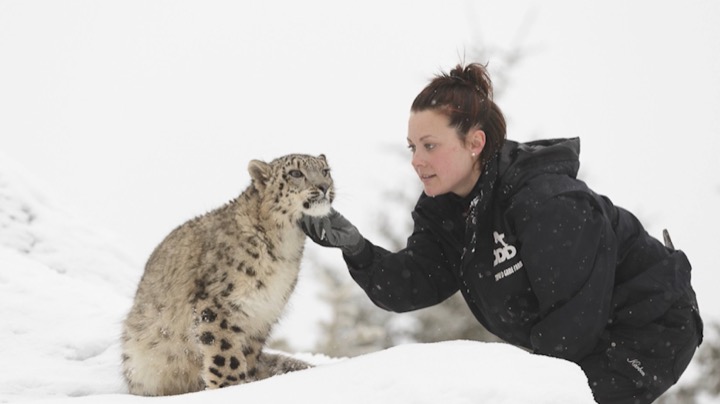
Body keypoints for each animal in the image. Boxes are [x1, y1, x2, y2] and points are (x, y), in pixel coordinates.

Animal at [121, 153, 334, 396]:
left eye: (326, 171)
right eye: (295, 173)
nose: (324, 187)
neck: (286, 247)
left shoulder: (262, 314)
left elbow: (247, 353)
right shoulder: (217, 303)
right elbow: (225, 352)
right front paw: (230, 387)